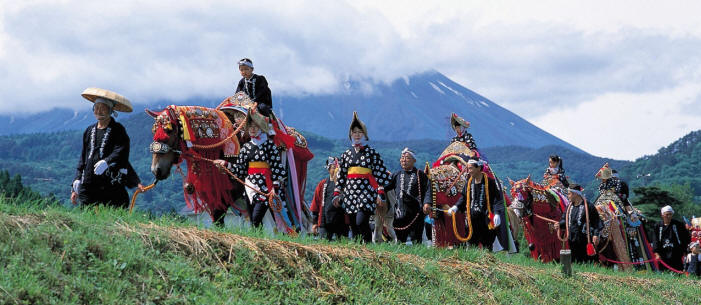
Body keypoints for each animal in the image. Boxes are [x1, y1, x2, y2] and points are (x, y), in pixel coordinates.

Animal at [145, 91, 312, 232]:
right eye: (154, 131)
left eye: (168, 130)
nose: (156, 170)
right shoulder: (213, 190)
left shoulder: (231, 190)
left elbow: (220, 216)